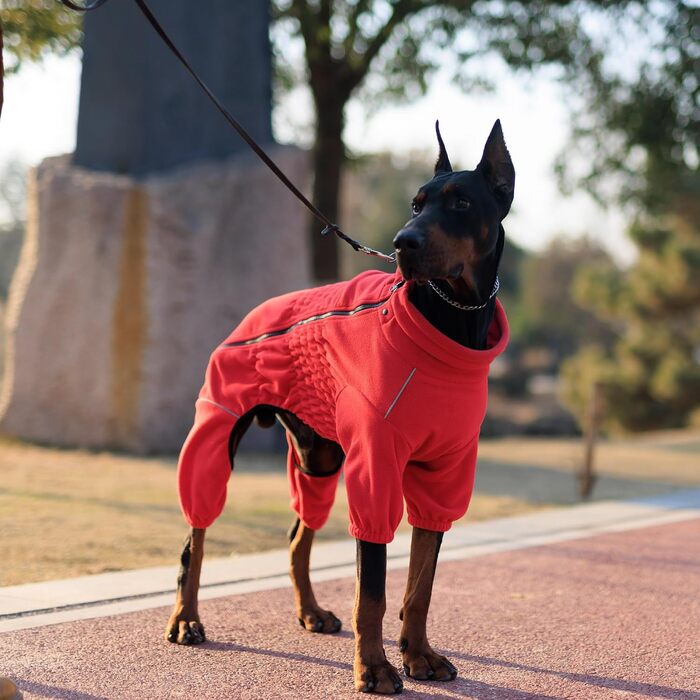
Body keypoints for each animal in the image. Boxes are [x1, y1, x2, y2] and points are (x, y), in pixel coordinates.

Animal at [164, 121, 516, 696]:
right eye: (416, 203)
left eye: (462, 202)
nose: (402, 242)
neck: (450, 323)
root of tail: (258, 309)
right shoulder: (375, 466)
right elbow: (371, 589)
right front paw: (373, 667)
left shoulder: (444, 472)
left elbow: (420, 585)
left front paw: (418, 655)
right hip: (217, 435)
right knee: (195, 537)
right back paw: (186, 618)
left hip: (319, 457)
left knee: (296, 536)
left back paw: (310, 611)